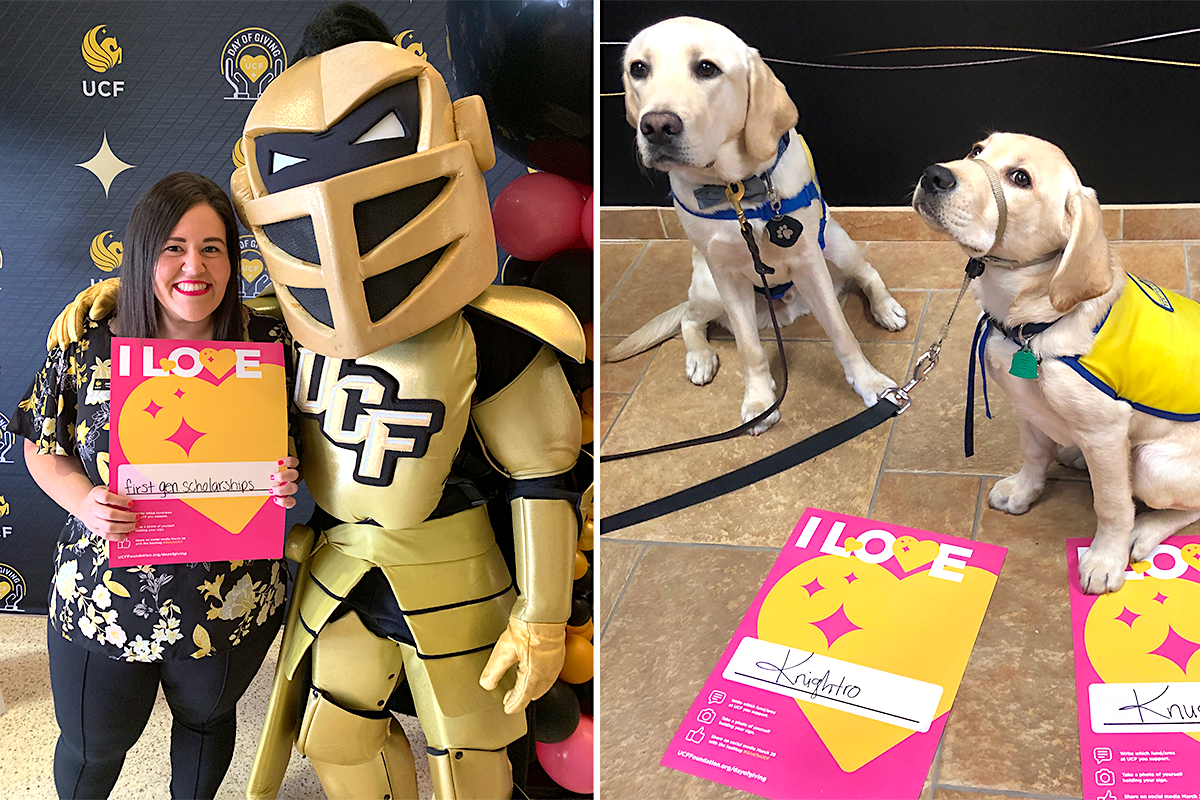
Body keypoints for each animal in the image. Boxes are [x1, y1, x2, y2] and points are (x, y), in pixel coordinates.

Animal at [609, 15, 907, 434]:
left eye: (707, 68)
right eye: (639, 68)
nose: (656, 125)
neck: (735, 191)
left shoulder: (808, 261)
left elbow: (842, 333)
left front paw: (872, 384)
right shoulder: (726, 276)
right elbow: (749, 349)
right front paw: (759, 401)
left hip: (835, 244)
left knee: (868, 274)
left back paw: (886, 308)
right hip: (708, 288)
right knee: (688, 319)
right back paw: (700, 357)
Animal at [912, 131, 1200, 594]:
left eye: (1020, 178)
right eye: (977, 150)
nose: (933, 175)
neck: (1031, 324)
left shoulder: (1106, 430)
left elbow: (1112, 505)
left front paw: (1105, 559)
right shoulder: (1027, 406)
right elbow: (1034, 455)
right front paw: (1023, 492)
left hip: (1152, 465)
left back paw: (1144, 531)